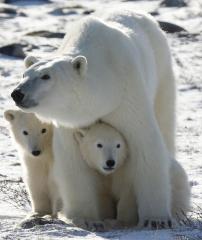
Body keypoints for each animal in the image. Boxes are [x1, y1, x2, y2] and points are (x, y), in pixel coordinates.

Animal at [11, 9, 178, 227]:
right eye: (24, 74)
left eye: (46, 76)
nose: (17, 93)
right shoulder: (71, 122)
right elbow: (72, 160)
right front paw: (86, 219)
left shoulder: (127, 96)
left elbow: (146, 144)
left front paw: (155, 220)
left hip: (161, 71)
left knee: (164, 120)